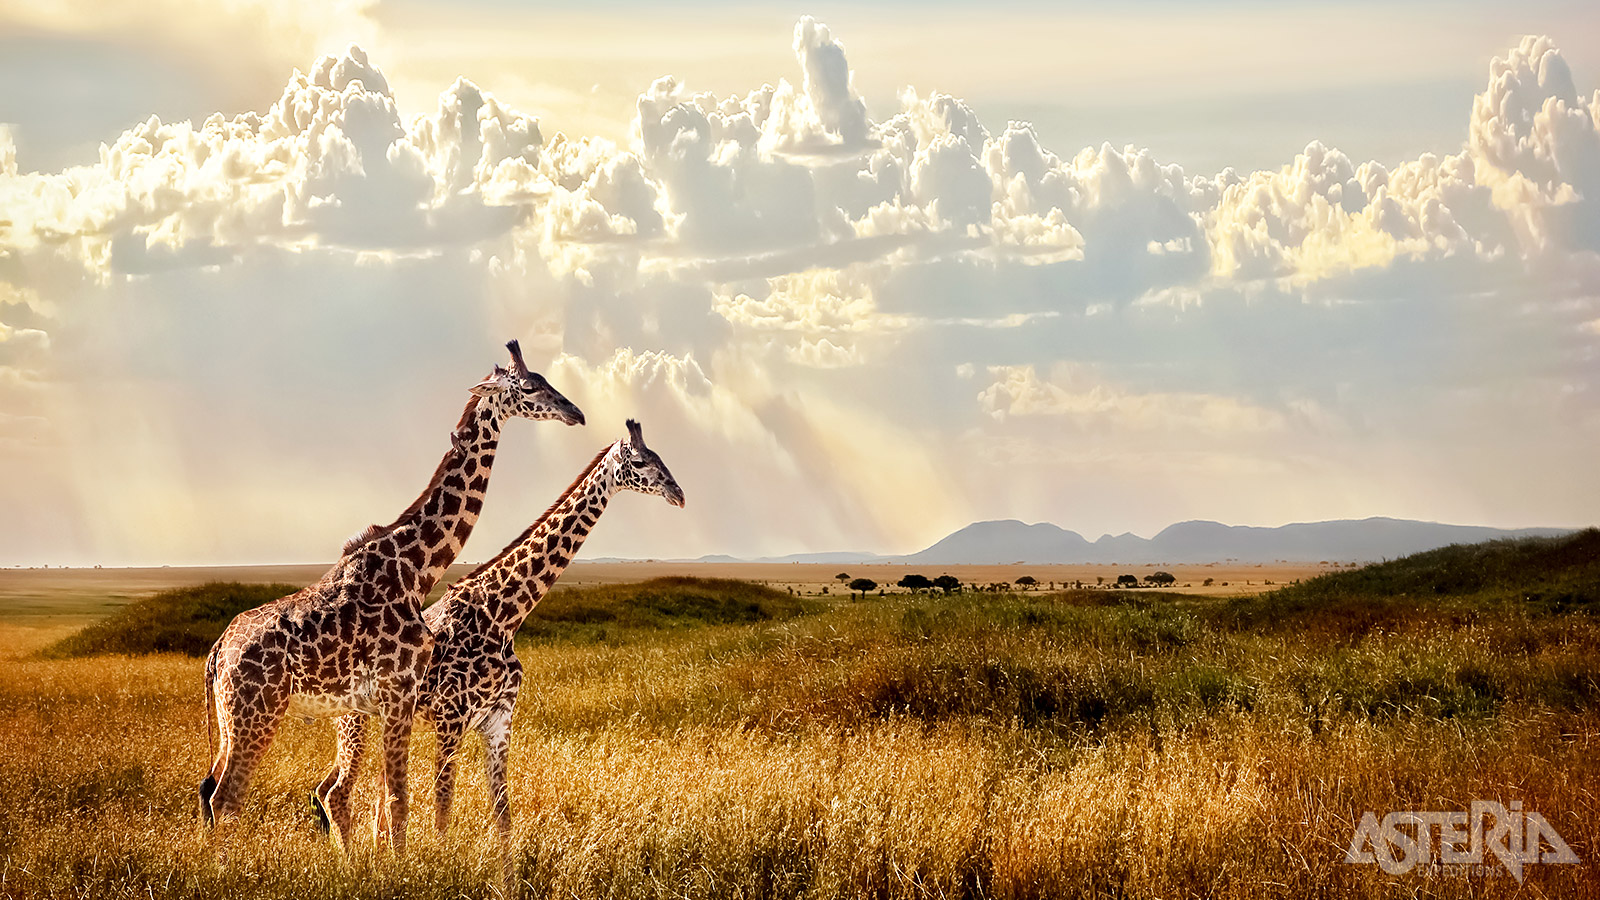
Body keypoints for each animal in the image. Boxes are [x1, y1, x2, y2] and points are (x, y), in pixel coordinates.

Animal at [194, 339, 582, 851]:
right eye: (530, 387)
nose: (575, 412)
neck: (415, 569)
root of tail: (218, 652)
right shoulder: (399, 694)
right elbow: (398, 803)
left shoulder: (395, 700)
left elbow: (393, 801)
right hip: (257, 714)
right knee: (227, 797)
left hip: (230, 719)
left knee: (211, 789)